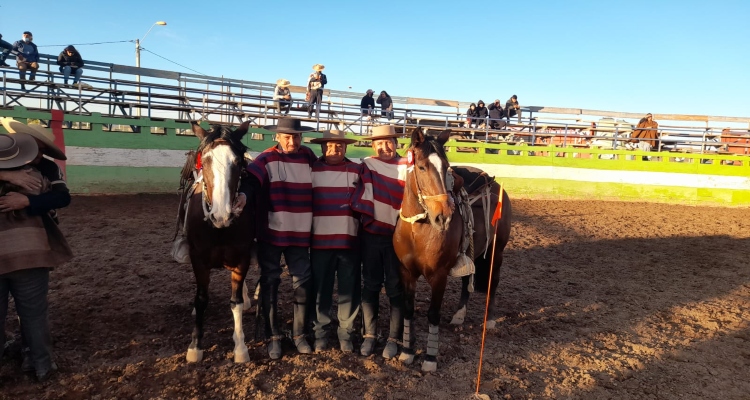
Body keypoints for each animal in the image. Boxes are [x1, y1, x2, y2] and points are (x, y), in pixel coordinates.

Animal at [184, 120, 258, 364]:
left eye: (237, 162)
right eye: (205, 160)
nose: (221, 214)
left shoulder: (242, 257)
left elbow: (235, 302)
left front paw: (240, 348)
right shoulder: (197, 258)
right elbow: (201, 299)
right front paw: (195, 347)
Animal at [394, 127, 512, 372]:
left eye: (446, 167)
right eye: (422, 167)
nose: (444, 215)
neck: (418, 230)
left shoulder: (439, 276)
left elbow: (433, 314)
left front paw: (430, 358)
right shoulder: (406, 273)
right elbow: (409, 310)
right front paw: (407, 352)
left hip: (497, 252)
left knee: (493, 282)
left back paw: (490, 319)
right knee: (467, 283)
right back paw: (459, 315)